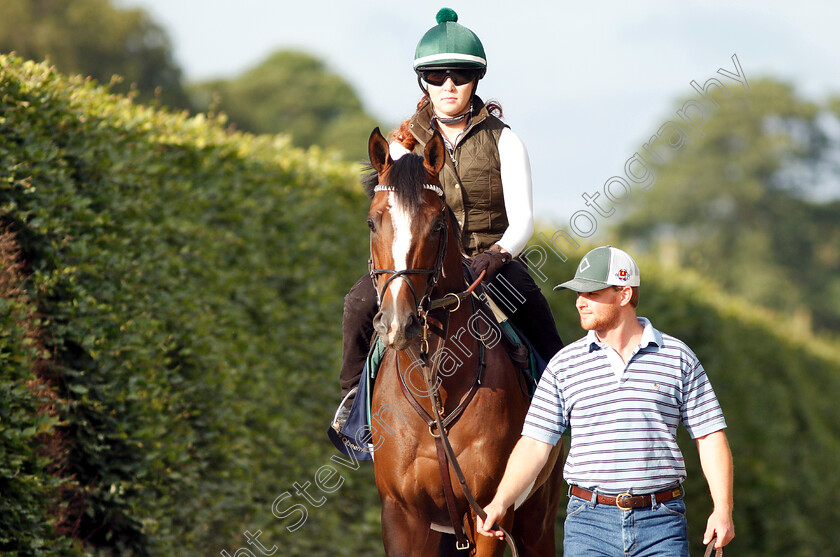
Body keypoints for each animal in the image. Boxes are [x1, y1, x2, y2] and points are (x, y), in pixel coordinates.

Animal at [362, 127, 564, 556]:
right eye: (372, 222)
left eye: (438, 225)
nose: (398, 322)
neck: (436, 389)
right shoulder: (402, 515)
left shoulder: (490, 515)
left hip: (536, 519)